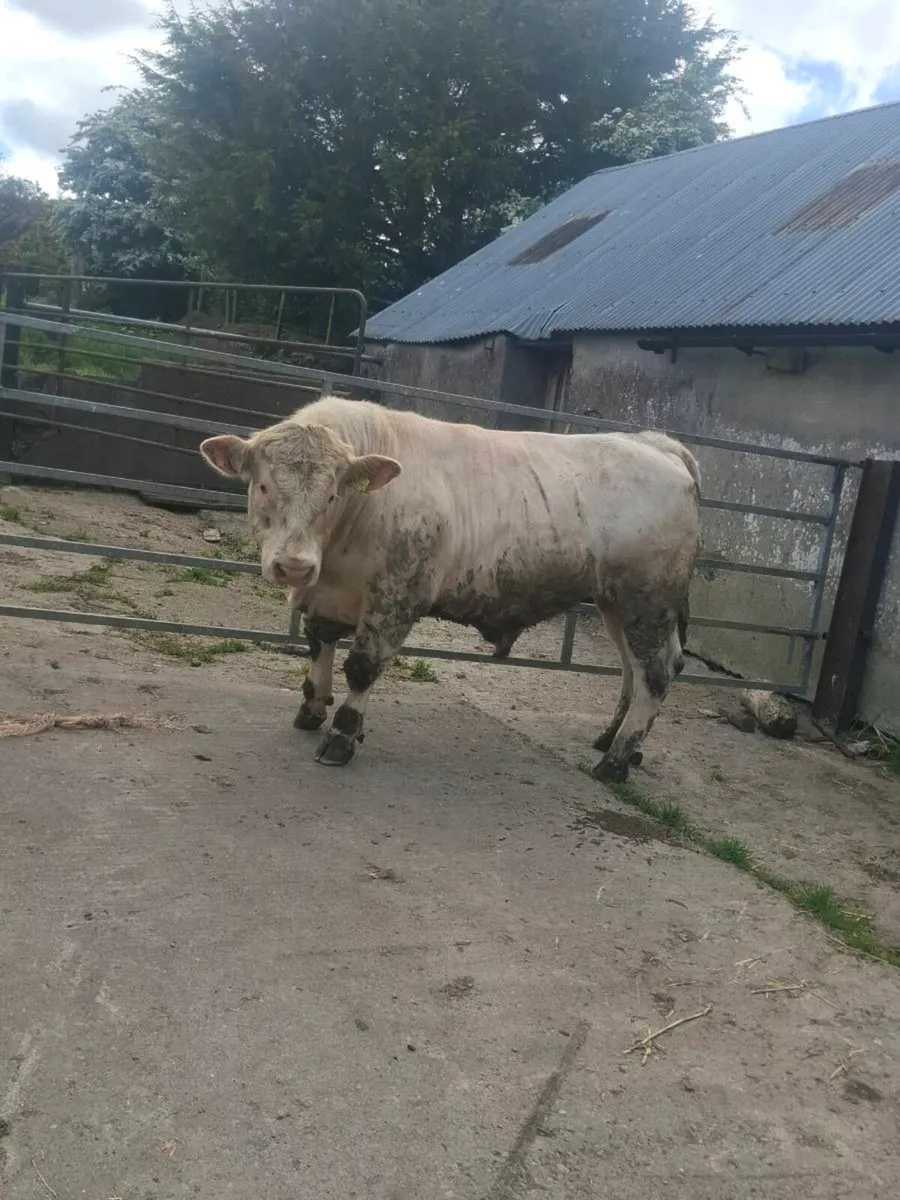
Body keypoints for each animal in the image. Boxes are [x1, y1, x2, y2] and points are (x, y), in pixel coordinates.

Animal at [200, 395, 700, 781]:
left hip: (646, 599)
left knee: (655, 672)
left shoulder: (396, 596)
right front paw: (311, 710)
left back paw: (615, 762)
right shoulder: (325, 596)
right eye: (263, 486)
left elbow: (361, 668)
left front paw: (342, 736)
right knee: (635, 668)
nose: (295, 565)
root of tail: (657, 444)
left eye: (332, 495)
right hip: (615, 601)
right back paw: (613, 740)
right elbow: (319, 646)